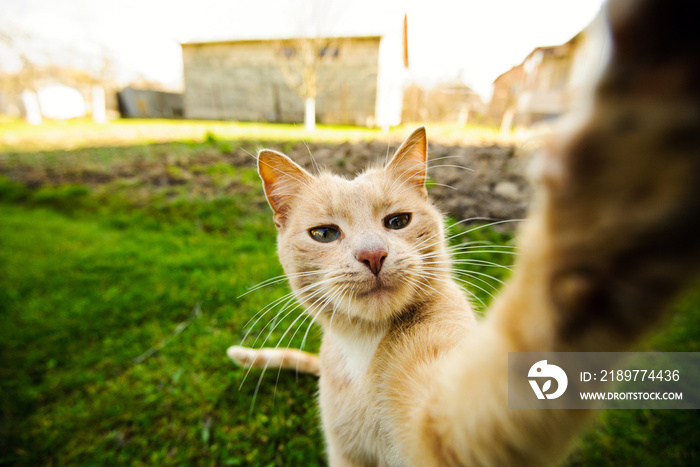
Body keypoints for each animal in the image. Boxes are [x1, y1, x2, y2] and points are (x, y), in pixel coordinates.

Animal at [230, 1, 700, 466]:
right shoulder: (349, 456)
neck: (363, 348)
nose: (373, 255)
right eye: (325, 234)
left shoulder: (445, 426)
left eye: (397, 222)